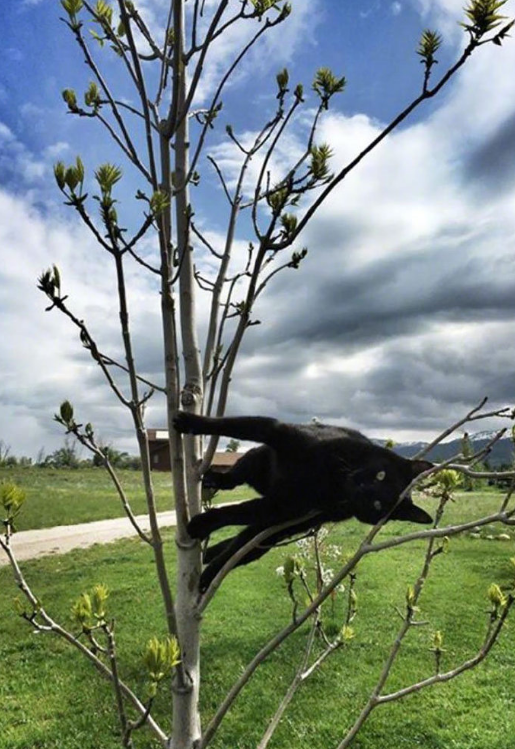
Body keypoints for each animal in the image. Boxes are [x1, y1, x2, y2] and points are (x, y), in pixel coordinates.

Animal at [174, 410, 436, 592]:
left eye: (378, 505)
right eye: (381, 475)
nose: (364, 491)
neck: (332, 478)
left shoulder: (285, 505)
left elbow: (235, 512)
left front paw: (202, 524)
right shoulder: (280, 433)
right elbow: (231, 425)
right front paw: (188, 421)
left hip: (274, 531)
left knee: (238, 547)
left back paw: (208, 572)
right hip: (258, 461)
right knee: (236, 475)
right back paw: (214, 479)